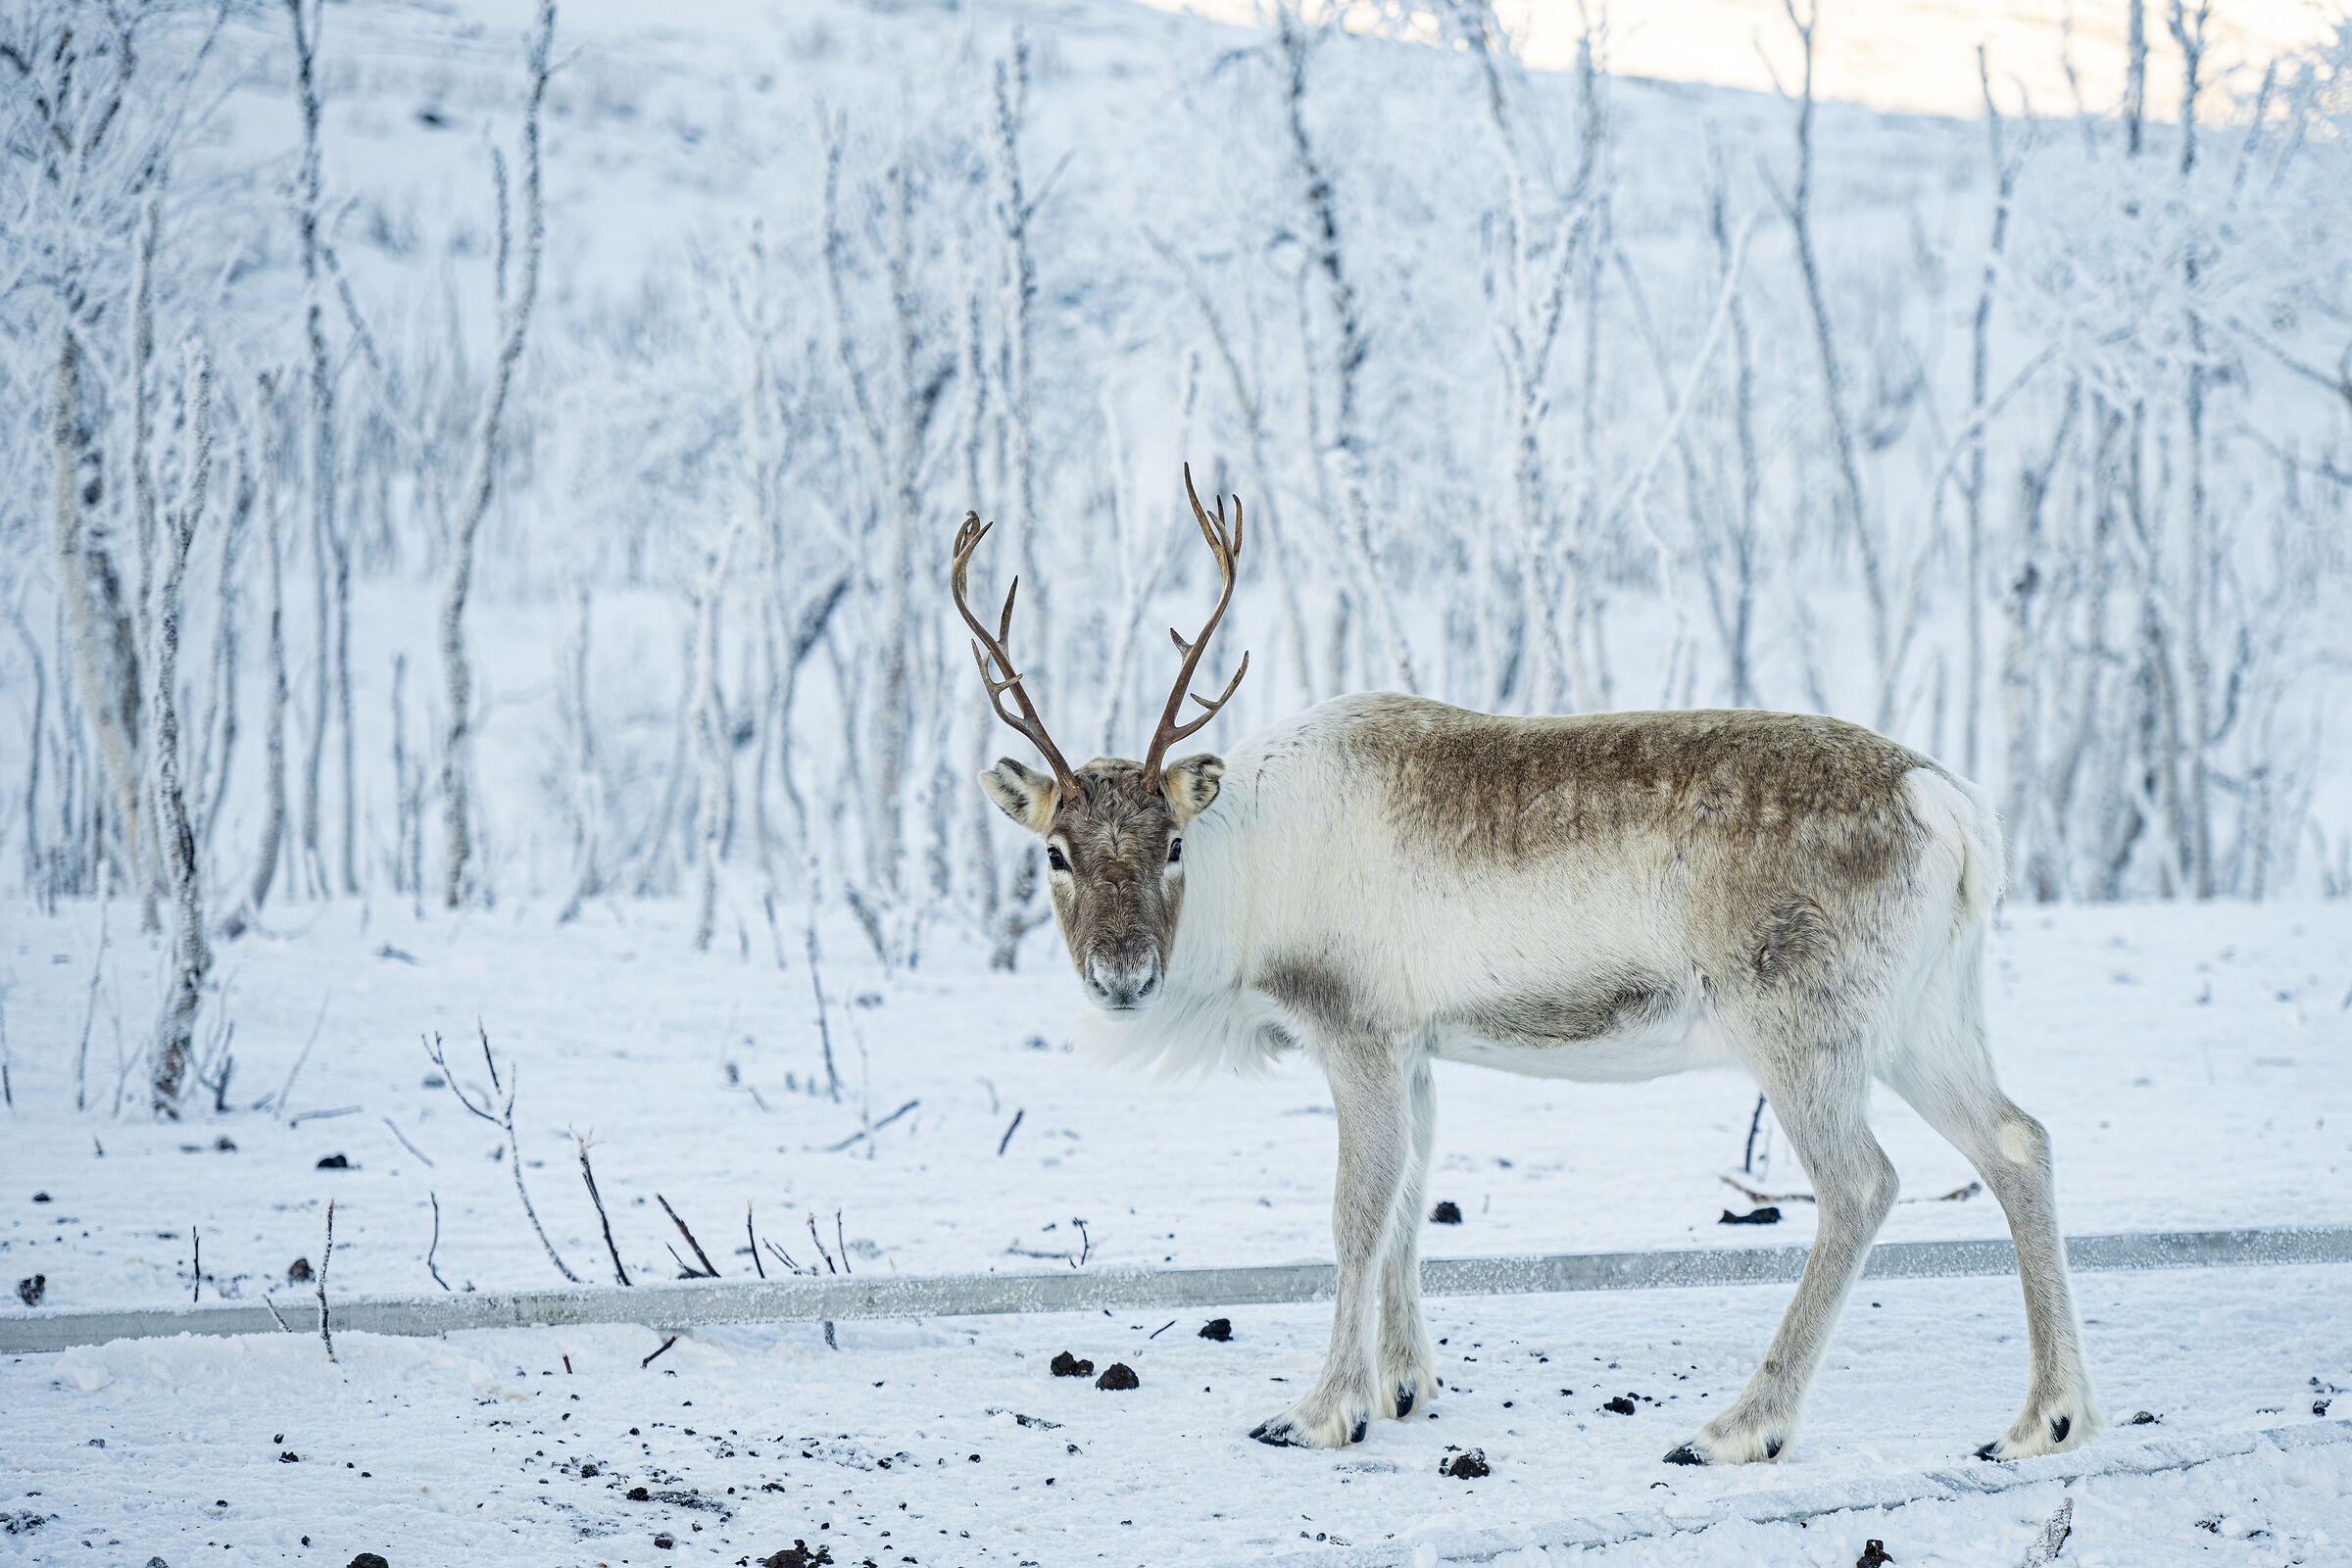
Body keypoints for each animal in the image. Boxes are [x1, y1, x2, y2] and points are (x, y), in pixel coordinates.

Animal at [951, 469, 2099, 1467]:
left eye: (1172, 844)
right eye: (1054, 853)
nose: (1123, 976)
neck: (1251, 875)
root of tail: (1947, 801)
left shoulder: (1356, 1029)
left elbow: (1356, 1213)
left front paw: (1320, 1412)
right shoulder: (1414, 1046)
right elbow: (1412, 1199)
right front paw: (1403, 1387)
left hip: (1800, 1022)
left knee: (1863, 1183)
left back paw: (1738, 1428)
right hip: (1925, 1015)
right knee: (2019, 1140)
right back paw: (2045, 1419)